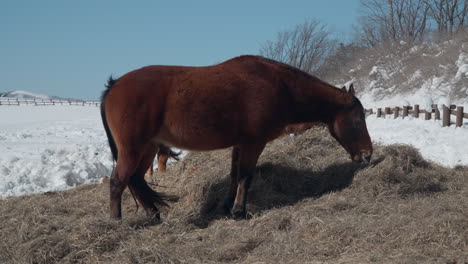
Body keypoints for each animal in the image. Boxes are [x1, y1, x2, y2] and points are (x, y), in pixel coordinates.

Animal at [100, 54, 372, 220]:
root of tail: (114, 85)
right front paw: (239, 211)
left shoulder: (239, 145)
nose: (368, 154)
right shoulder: (253, 143)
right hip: (134, 149)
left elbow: (234, 175)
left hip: (146, 149)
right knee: (118, 181)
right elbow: (245, 176)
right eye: (359, 118)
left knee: (135, 180)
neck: (278, 85)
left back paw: (153, 214)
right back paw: (116, 222)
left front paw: (227, 206)